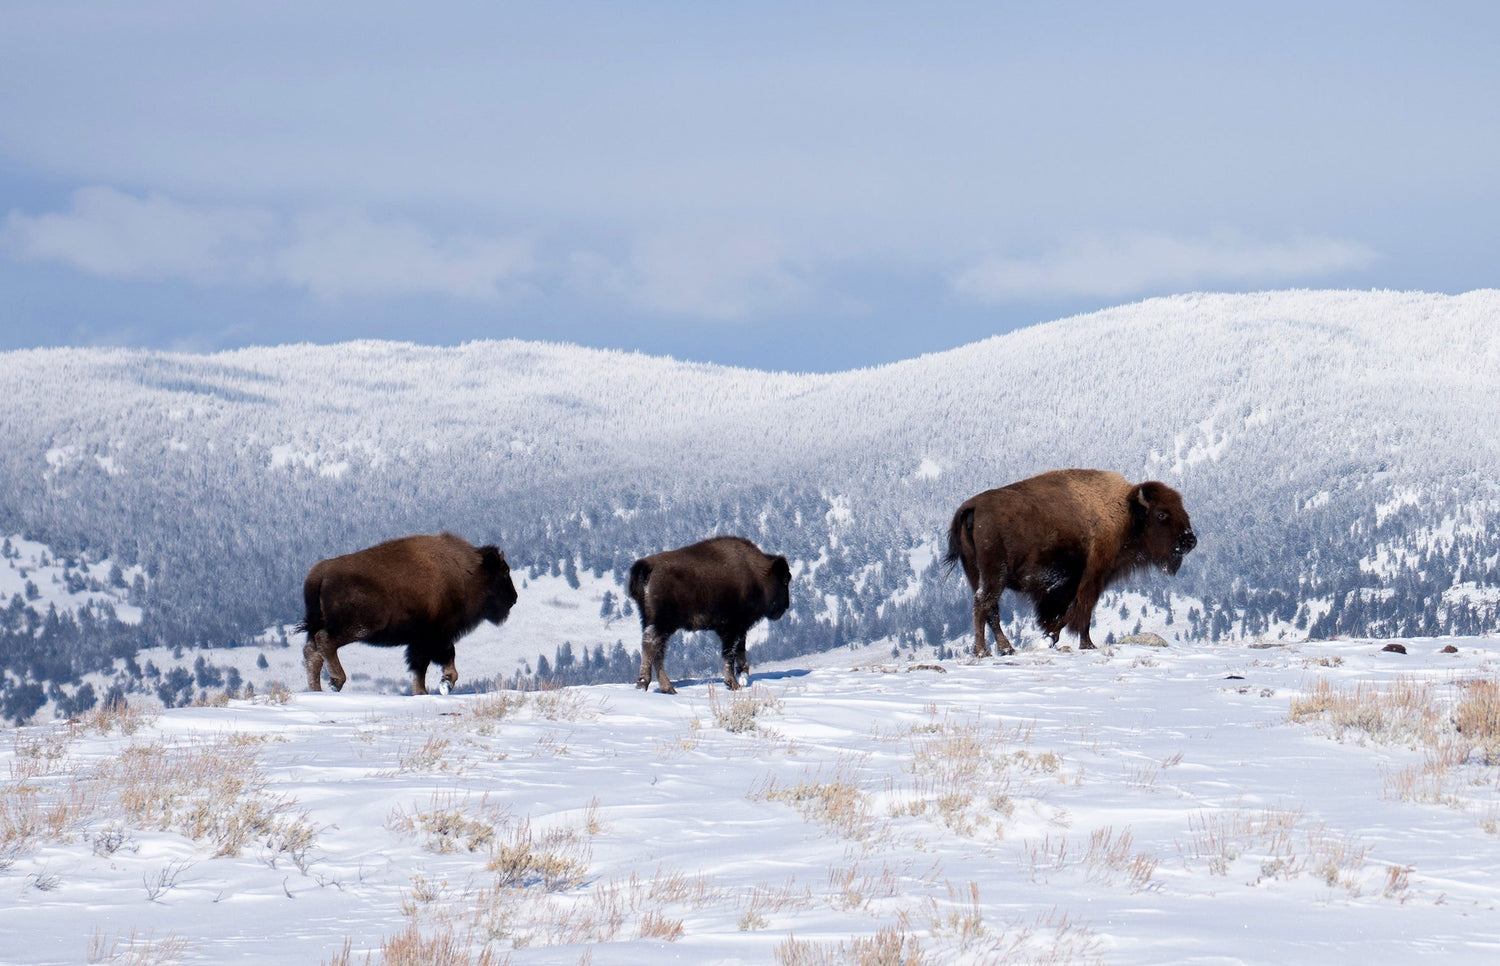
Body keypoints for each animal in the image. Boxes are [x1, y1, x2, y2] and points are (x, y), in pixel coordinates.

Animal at [299, 532, 518, 695]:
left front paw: (430, 689)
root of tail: (321, 573)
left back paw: (316, 690)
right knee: (324, 642)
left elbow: (424, 665)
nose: (514, 598)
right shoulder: (435, 636)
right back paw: (337, 681)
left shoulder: (424, 640)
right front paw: (442, 684)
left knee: (312, 652)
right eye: (504, 572)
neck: (468, 573)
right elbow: (434, 661)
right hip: (359, 627)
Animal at [628, 535, 792, 694]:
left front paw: (742, 677)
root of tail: (648, 567)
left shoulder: (740, 629)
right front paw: (732, 683)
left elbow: (740, 651)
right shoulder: (732, 628)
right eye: (784, 579)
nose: (786, 606)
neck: (756, 574)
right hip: (662, 622)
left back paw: (664, 688)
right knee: (651, 646)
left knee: (657, 652)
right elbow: (729, 654)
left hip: (652, 621)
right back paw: (648, 684)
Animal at [945, 469, 1196, 655]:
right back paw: (984, 651)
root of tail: (973, 506)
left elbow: (1067, 612)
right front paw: (1079, 643)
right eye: (1162, 514)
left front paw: (1054, 638)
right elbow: (1080, 613)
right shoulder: (1092, 578)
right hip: (994, 575)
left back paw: (1006, 649)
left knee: (990, 609)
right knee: (984, 604)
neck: (1125, 512)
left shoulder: (1066, 587)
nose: (1190, 540)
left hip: (976, 573)